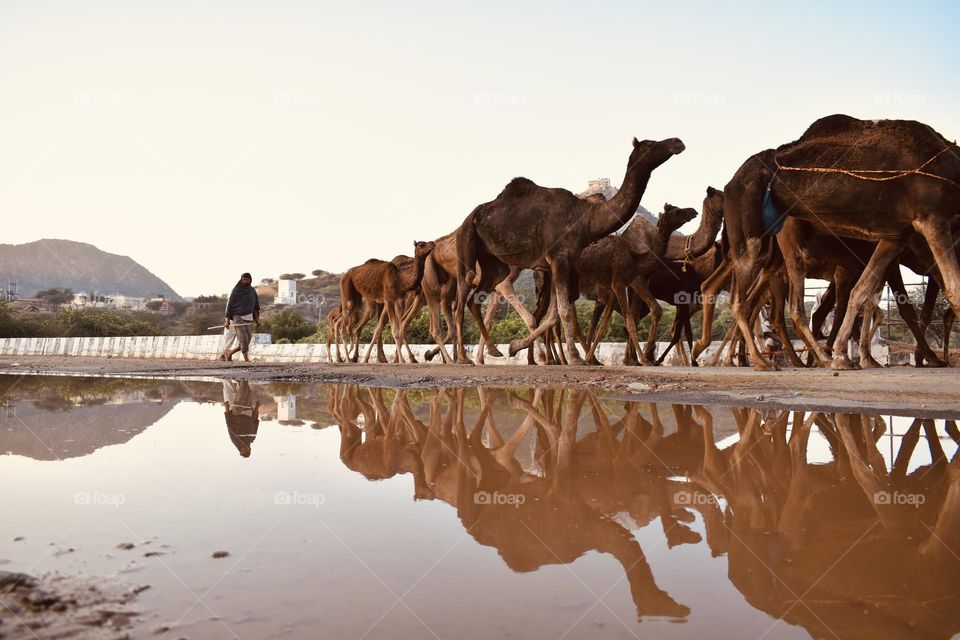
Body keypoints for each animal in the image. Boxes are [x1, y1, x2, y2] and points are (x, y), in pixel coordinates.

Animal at [572, 205, 692, 364]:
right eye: (677, 211)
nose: (693, 211)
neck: (634, 260)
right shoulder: (618, 284)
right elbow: (629, 323)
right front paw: (644, 360)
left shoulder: (613, 288)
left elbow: (603, 326)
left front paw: (589, 359)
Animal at [724, 115, 956, 370]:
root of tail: (731, 182)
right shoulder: (931, 219)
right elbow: (949, 290)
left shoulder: (896, 237)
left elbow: (863, 295)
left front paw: (854, 357)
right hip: (759, 236)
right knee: (755, 303)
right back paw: (773, 360)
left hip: (771, 253)